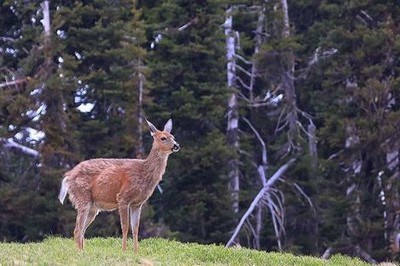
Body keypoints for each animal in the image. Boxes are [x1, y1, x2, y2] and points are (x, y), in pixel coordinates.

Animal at [58, 119, 180, 254]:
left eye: (173, 137)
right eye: (163, 138)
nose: (176, 145)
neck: (143, 173)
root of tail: (68, 177)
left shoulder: (137, 204)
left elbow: (136, 228)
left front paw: (136, 252)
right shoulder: (122, 198)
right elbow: (125, 226)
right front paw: (124, 250)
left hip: (93, 207)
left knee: (82, 229)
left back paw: (83, 250)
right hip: (82, 197)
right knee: (77, 229)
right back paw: (79, 252)